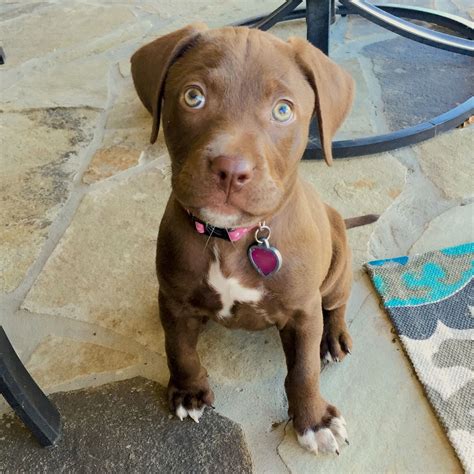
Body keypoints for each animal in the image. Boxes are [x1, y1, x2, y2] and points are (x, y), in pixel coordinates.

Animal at [131, 24, 356, 454]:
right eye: (193, 96)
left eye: (283, 110)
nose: (230, 170)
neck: (230, 237)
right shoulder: (174, 299)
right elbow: (179, 349)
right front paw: (188, 391)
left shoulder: (303, 310)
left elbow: (303, 370)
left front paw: (314, 420)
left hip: (336, 271)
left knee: (335, 304)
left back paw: (333, 337)